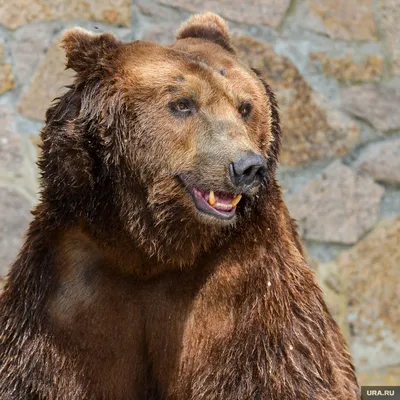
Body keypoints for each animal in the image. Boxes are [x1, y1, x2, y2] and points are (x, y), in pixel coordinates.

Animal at [0, 12, 360, 400]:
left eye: (245, 107)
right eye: (183, 104)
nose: (248, 166)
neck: (152, 247)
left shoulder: (247, 288)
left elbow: (281, 367)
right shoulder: (68, 287)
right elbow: (41, 373)